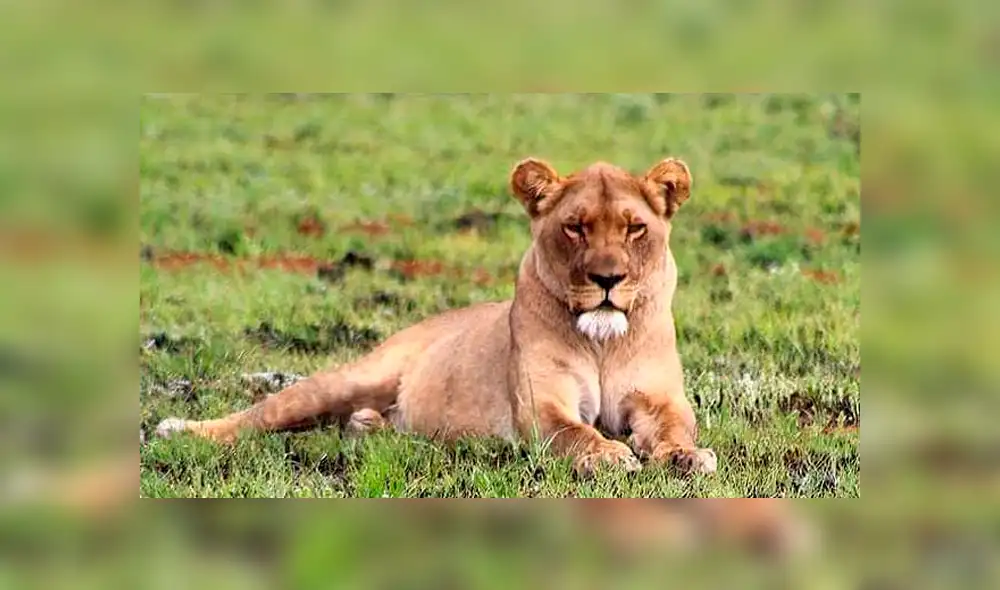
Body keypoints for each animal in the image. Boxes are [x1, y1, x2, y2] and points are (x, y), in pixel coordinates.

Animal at [156, 157, 717, 477]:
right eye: (575, 227)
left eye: (635, 229)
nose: (607, 279)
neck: (602, 341)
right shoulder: (540, 405)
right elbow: (572, 432)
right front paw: (607, 455)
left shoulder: (659, 399)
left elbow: (675, 428)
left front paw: (686, 457)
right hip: (346, 380)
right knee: (258, 416)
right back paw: (177, 429)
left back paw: (370, 429)